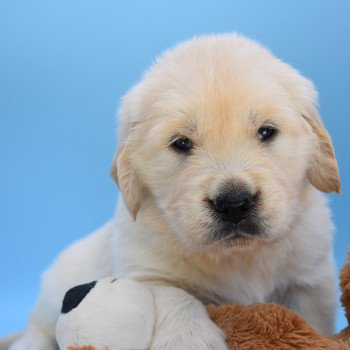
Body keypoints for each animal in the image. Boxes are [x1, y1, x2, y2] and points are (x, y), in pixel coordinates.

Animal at [9, 33, 340, 350]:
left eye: (267, 131)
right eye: (181, 143)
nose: (234, 203)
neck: (237, 256)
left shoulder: (310, 279)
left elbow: (310, 319)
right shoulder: (145, 271)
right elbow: (173, 294)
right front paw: (190, 339)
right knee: (37, 329)